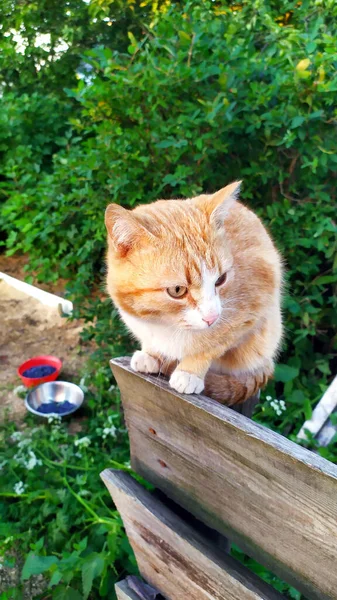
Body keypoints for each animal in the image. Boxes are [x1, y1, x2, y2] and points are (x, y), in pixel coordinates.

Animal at [104, 183, 280, 406]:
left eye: (221, 279)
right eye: (177, 290)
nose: (212, 317)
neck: (165, 324)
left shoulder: (247, 315)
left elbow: (213, 344)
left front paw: (189, 372)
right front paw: (152, 355)